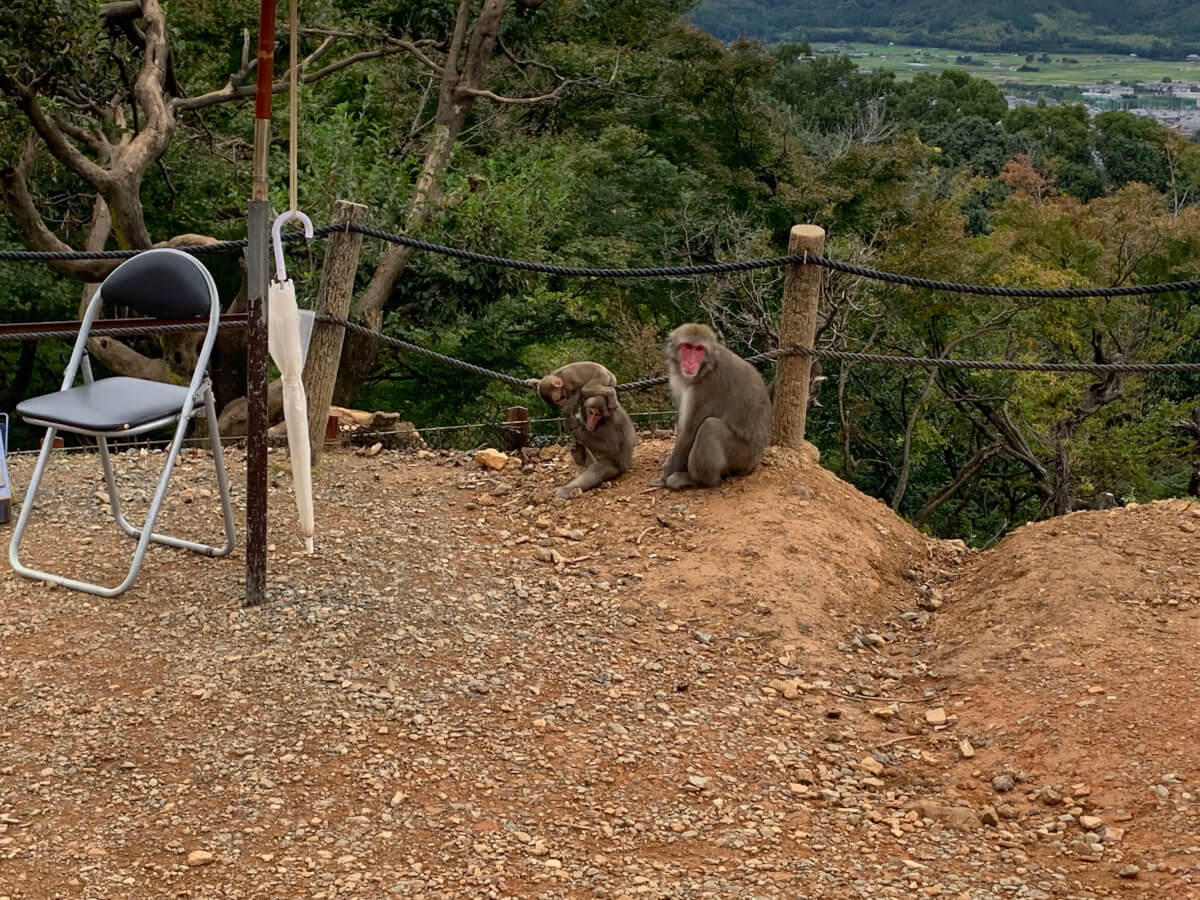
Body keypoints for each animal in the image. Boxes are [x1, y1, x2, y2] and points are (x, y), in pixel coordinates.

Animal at [652, 326, 772, 494]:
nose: (690, 362)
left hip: (743, 456)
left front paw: (665, 477)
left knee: (709, 426)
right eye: (688, 347)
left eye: (699, 349)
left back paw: (696, 480)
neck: (708, 367)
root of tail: (755, 461)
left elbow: (689, 433)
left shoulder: (707, 387)